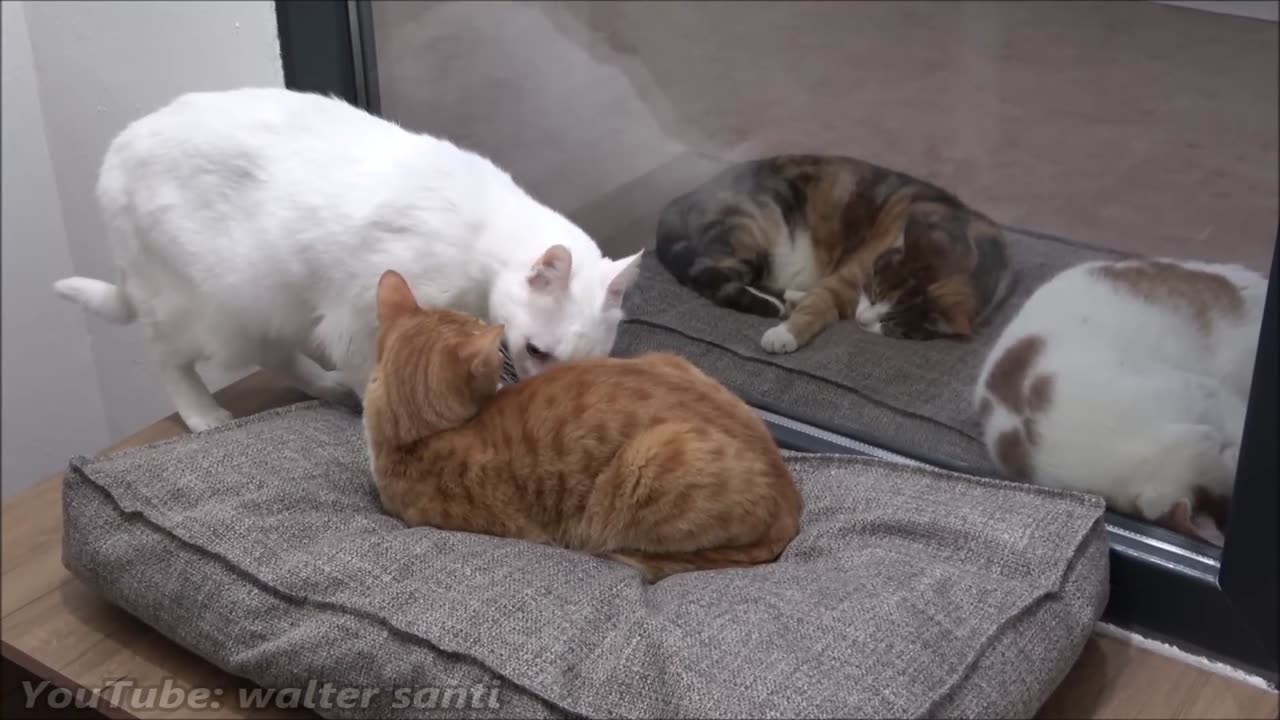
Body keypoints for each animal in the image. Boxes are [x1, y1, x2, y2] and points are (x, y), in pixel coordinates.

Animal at [55, 87, 645, 427]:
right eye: (537, 351)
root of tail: (115, 151)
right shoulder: (357, 318)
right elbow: (374, 374)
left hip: (268, 302)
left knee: (276, 353)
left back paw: (326, 387)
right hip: (201, 303)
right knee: (167, 355)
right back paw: (205, 414)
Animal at [660, 154, 1008, 351]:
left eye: (893, 325)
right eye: (875, 291)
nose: (863, 321)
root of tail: (677, 202)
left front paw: (798, 303)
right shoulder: (851, 274)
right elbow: (820, 302)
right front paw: (785, 334)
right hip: (754, 225)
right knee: (706, 272)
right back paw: (772, 305)